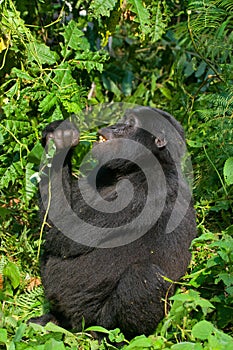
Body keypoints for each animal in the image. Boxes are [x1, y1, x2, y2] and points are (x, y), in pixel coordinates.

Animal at [35, 106, 196, 340]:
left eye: (129, 124)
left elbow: (64, 234)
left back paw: (120, 337)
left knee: (144, 276)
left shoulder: (146, 191)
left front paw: (60, 141)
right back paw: (53, 320)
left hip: (96, 321)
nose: (112, 126)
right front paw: (58, 135)